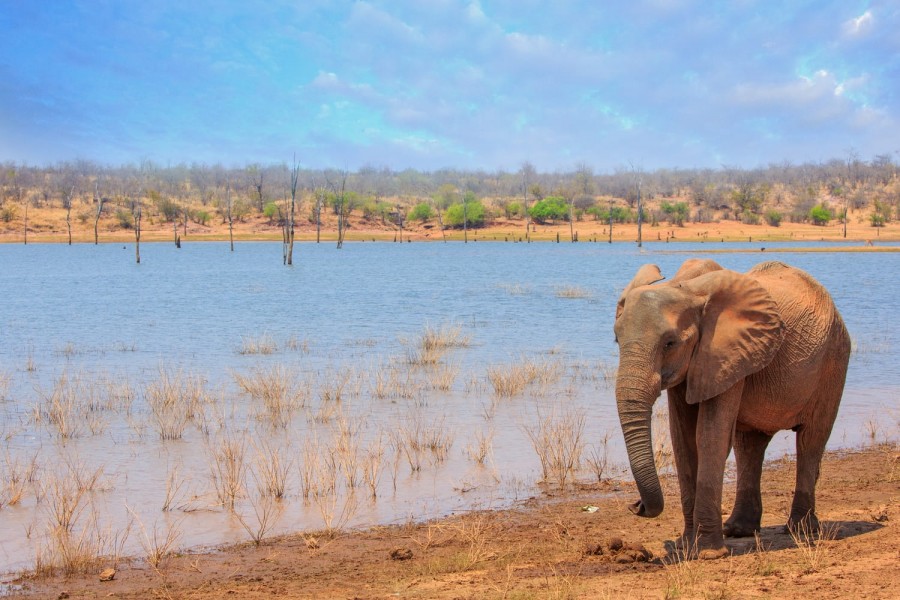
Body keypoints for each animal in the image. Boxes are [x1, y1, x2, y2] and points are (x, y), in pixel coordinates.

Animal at [613, 258, 850, 559]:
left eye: (669, 343)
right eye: (616, 340)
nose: (636, 505)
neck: (685, 288)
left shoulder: (726, 353)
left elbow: (709, 437)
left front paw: (707, 553)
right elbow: (683, 440)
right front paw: (685, 546)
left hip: (834, 360)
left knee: (811, 440)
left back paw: (801, 531)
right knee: (748, 445)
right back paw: (738, 530)